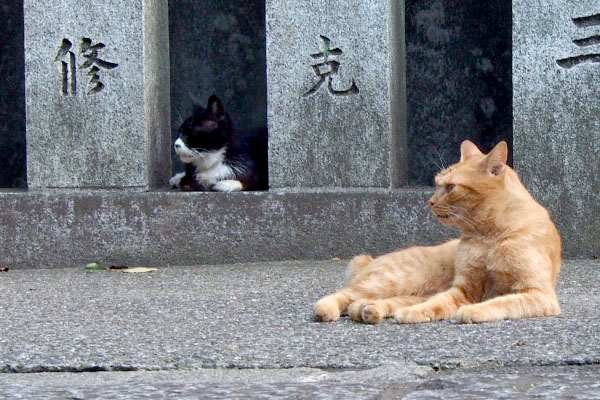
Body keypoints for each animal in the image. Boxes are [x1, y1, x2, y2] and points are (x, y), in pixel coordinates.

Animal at [314, 141, 564, 324]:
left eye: (451, 188)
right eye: (436, 184)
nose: (430, 201)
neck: (488, 237)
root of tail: (367, 261)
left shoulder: (538, 294)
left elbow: (502, 302)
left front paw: (473, 311)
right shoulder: (463, 290)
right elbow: (436, 304)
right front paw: (418, 313)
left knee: (364, 302)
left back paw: (369, 310)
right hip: (396, 280)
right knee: (346, 293)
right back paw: (327, 308)